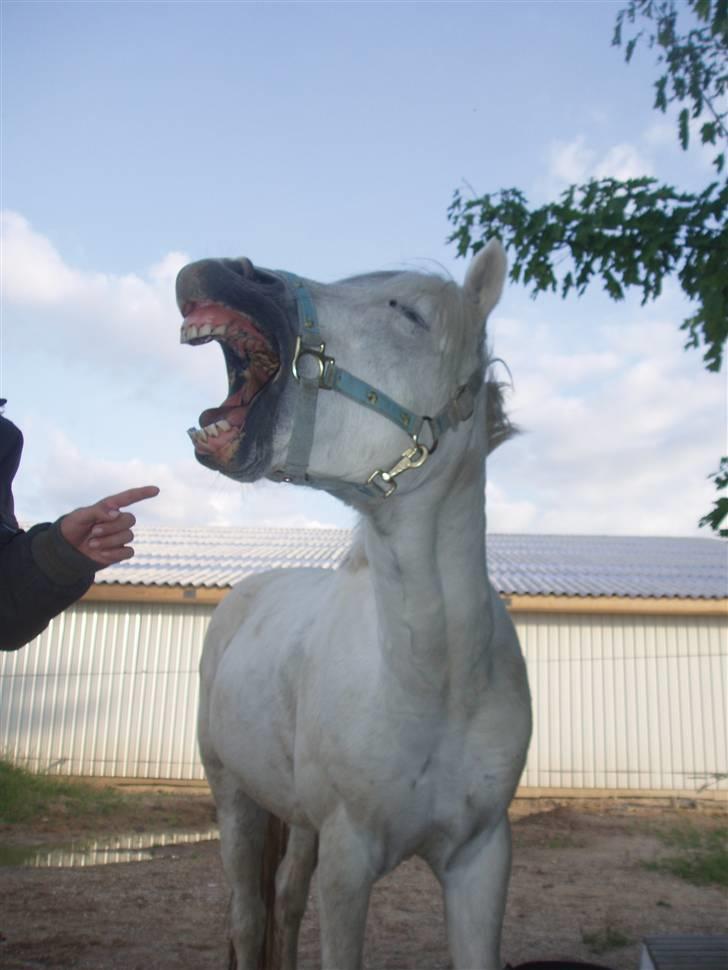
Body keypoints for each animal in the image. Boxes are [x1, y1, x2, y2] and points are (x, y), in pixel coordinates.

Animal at [176, 242, 528, 968]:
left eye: (411, 313)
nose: (223, 271)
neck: (437, 679)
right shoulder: (348, 862)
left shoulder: (482, 860)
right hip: (236, 800)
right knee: (248, 918)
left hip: (299, 822)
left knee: (283, 902)